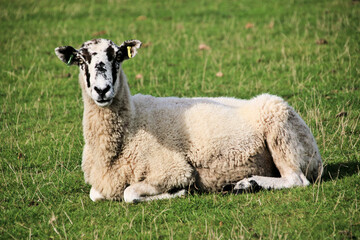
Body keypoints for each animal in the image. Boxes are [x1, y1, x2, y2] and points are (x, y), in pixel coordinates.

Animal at [55, 39, 324, 202]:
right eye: (81, 60)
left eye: (118, 57)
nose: (102, 90)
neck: (133, 123)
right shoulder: (102, 183)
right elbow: (95, 194)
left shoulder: (172, 170)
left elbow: (130, 193)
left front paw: (180, 192)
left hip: (281, 134)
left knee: (296, 180)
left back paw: (248, 184)